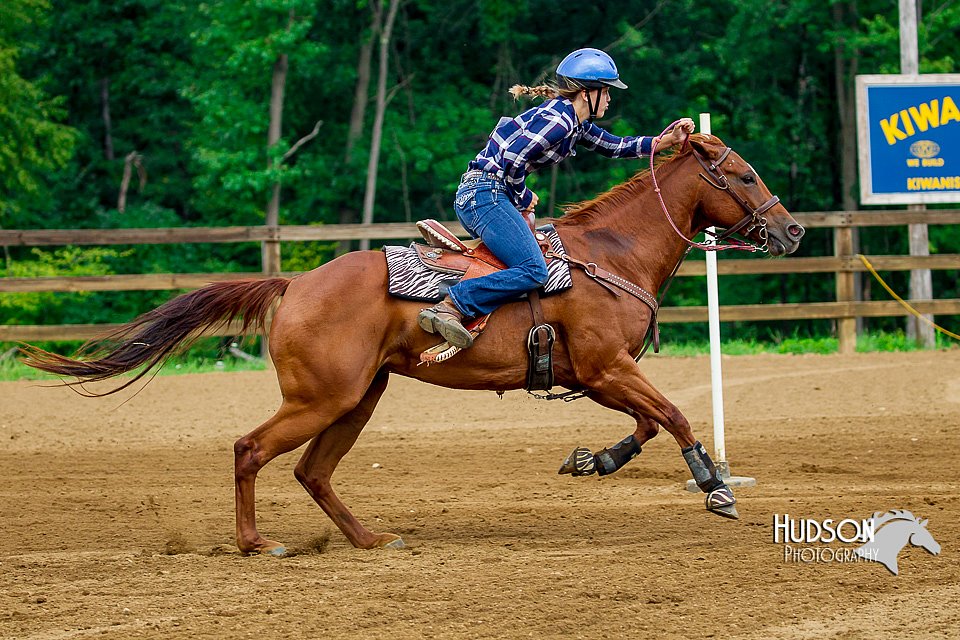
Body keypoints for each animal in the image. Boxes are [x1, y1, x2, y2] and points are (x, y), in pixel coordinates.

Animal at [22, 134, 804, 556]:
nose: (792, 230)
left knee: (312, 471)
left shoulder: (597, 375)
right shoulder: (606, 367)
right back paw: (256, 543)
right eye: (742, 174)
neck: (608, 254)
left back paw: (370, 540)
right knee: (251, 450)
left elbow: (646, 422)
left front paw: (593, 459)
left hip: (358, 398)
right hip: (322, 397)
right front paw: (716, 488)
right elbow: (671, 414)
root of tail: (294, 283)